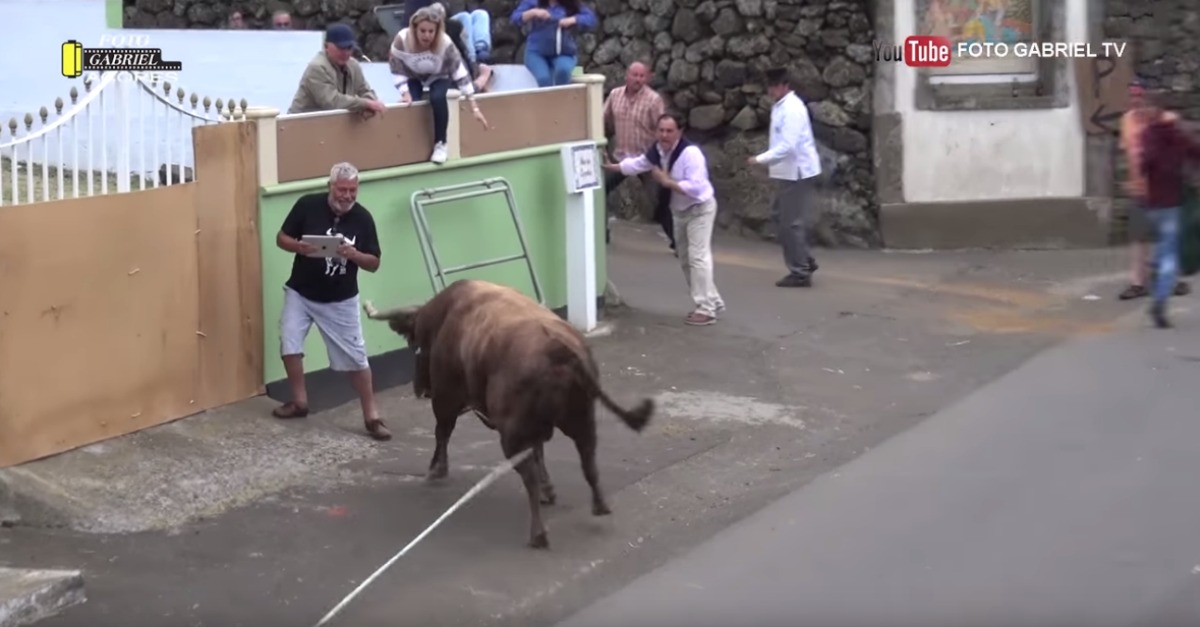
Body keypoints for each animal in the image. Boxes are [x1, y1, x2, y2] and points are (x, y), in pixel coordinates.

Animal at [362, 278, 657, 547]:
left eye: (414, 344)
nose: (420, 388)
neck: (444, 316)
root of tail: (560, 350)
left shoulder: (447, 398)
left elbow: (442, 431)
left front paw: (436, 469)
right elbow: (540, 453)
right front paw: (549, 489)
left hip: (513, 434)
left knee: (530, 476)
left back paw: (538, 534)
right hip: (581, 418)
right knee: (589, 462)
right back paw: (599, 505)